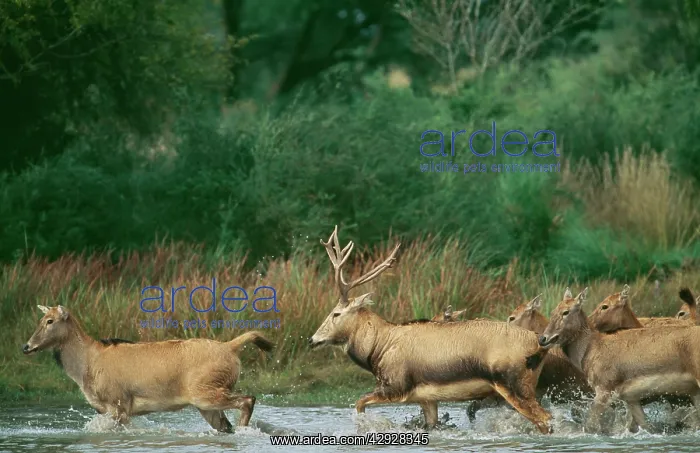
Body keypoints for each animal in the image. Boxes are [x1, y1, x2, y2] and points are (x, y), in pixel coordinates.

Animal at [23, 305, 273, 432]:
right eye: (41, 319)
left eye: (50, 321)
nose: (26, 347)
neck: (86, 367)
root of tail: (231, 347)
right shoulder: (106, 408)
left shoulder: (119, 402)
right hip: (206, 402)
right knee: (226, 424)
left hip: (205, 391)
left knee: (248, 399)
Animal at [308, 225, 554, 434]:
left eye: (335, 313)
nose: (312, 339)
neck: (378, 350)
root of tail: (539, 343)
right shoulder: (427, 397)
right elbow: (431, 424)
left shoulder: (396, 386)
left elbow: (359, 403)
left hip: (513, 382)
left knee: (546, 419)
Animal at [539, 287, 700, 434]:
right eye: (552, 312)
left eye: (566, 312)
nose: (543, 338)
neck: (588, 353)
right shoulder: (631, 397)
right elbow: (646, 427)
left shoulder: (604, 388)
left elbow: (590, 426)